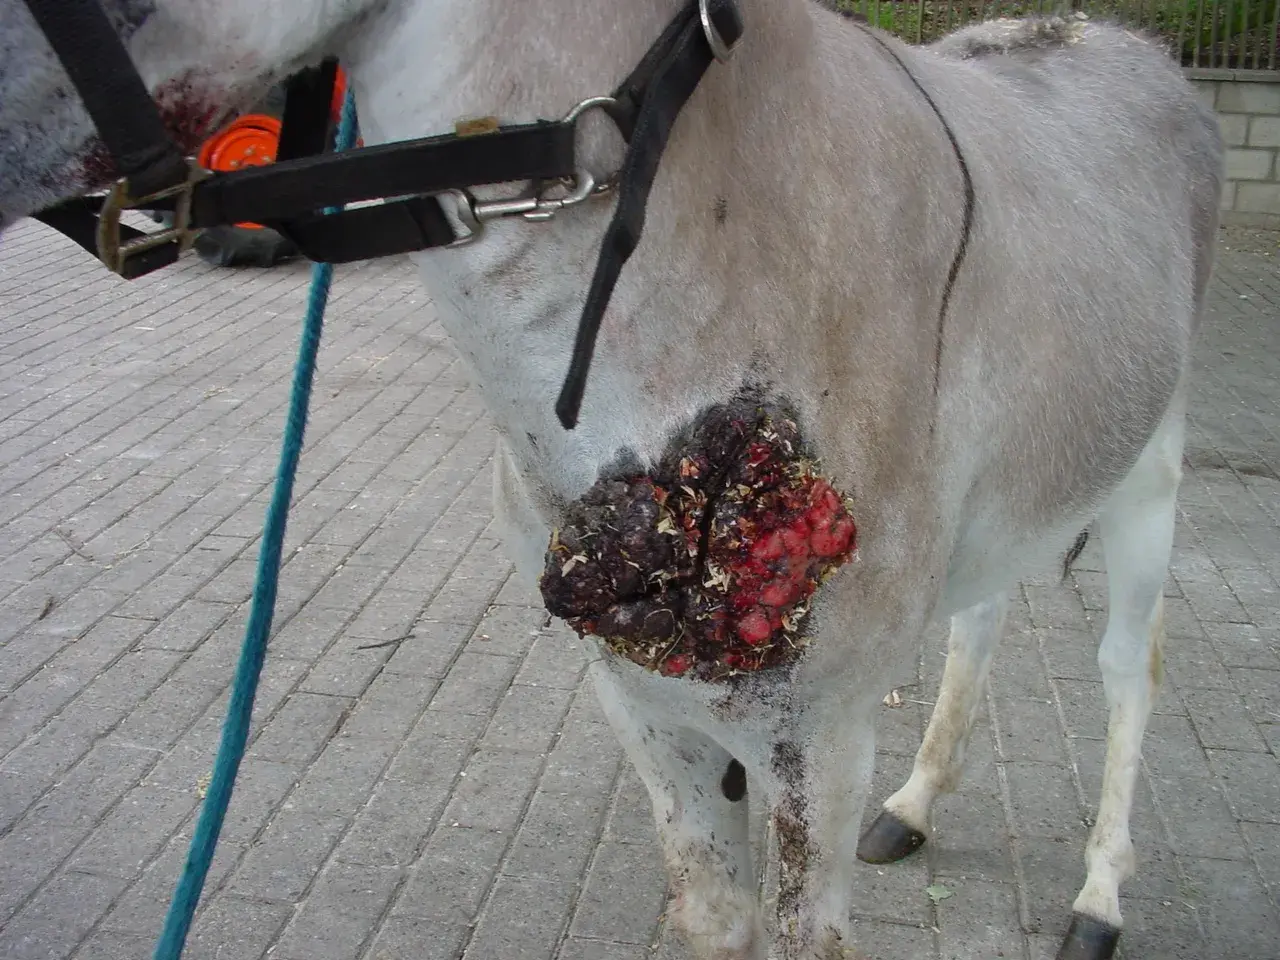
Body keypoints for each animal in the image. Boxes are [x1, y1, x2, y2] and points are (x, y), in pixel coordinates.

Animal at [0, 2, 1223, 958]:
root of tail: (1138, 46)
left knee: (1131, 669)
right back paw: (915, 807)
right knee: (983, 618)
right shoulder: (640, 702)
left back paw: (1097, 902)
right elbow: (711, 917)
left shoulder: (816, 734)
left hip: (1151, 477)